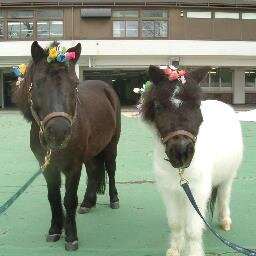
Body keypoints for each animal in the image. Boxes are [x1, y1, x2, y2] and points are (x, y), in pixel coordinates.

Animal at [13, 41, 121, 251]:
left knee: (111, 169)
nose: (59, 131)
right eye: (38, 82)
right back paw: (88, 202)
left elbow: (69, 199)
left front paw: (71, 236)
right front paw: (55, 229)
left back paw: (114, 199)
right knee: (93, 171)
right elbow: (53, 197)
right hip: (91, 152)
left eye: (75, 84)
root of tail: (105, 87)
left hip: (112, 144)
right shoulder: (46, 166)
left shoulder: (73, 165)